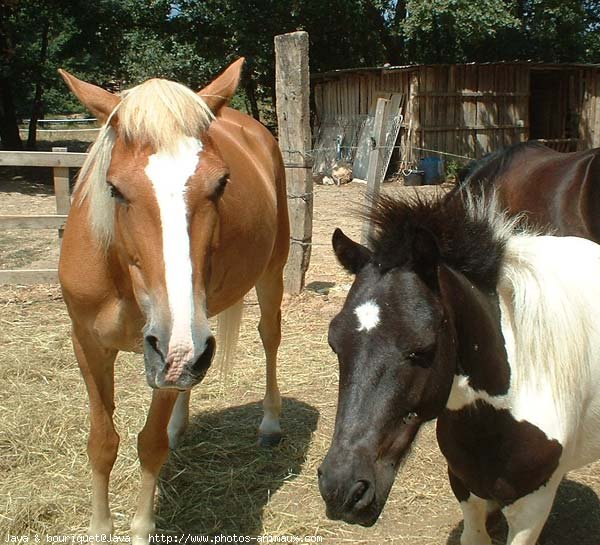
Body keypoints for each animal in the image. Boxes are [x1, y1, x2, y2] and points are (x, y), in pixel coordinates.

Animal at [58, 59, 288, 540]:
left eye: (221, 183)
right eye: (114, 188)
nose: (180, 349)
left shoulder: (169, 351)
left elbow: (149, 443)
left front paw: (141, 529)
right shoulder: (88, 344)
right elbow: (102, 442)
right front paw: (99, 527)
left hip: (267, 278)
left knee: (269, 338)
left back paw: (270, 423)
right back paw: (181, 424)